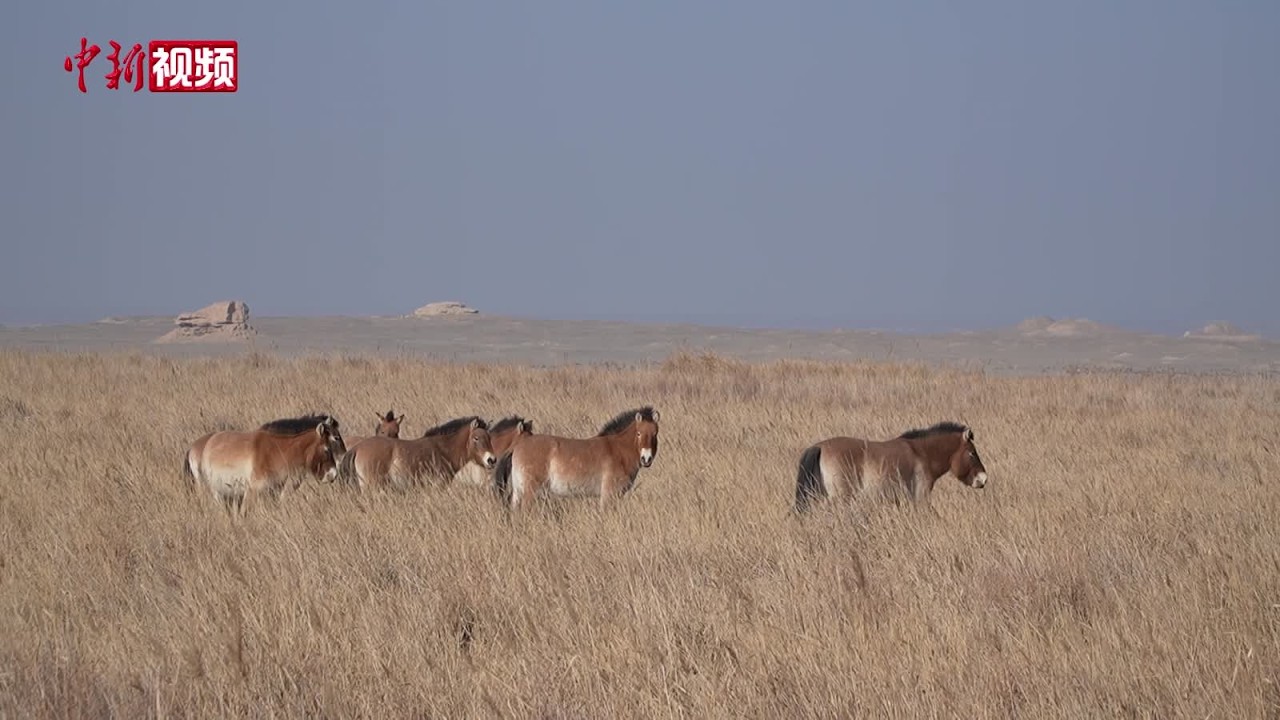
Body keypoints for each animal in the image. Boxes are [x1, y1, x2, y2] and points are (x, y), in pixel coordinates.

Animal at [493, 406, 660, 511]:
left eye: (655, 433)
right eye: (639, 433)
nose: (646, 458)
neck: (618, 449)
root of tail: (518, 445)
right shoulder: (608, 495)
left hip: (518, 491)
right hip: (529, 492)